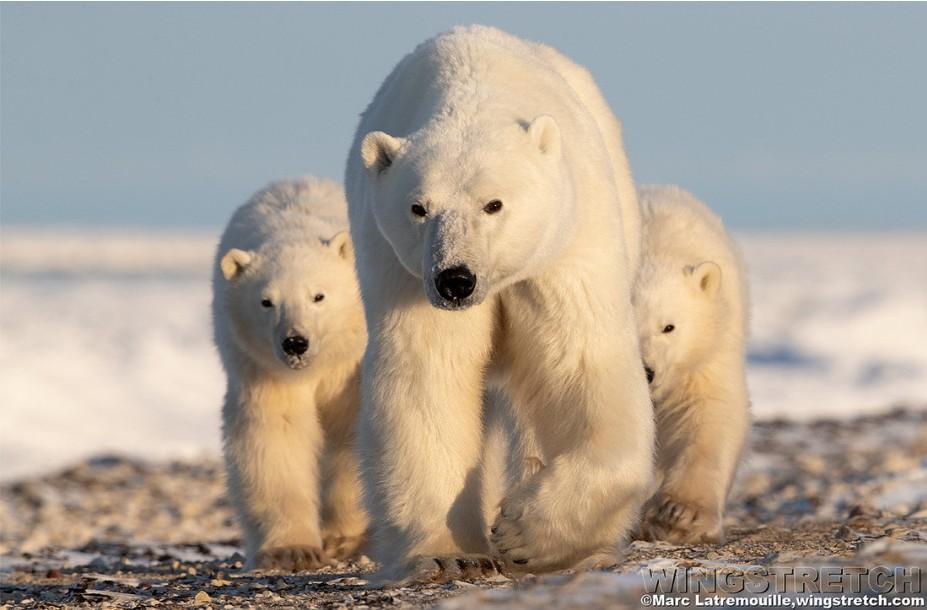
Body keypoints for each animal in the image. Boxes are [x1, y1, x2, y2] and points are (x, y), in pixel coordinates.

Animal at [212, 177, 368, 570]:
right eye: (267, 301)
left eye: (319, 296)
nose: (295, 343)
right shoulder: (261, 367)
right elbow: (275, 435)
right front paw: (292, 550)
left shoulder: (351, 368)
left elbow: (350, 434)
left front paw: (344, 538)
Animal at [344, 25, 654, 581]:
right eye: (419, 207)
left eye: (494, 204)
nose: (456, 280)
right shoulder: (404, 274)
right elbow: (431, 376)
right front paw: (451, 553)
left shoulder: (563, 246)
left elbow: (580, 364)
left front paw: (524, 531)